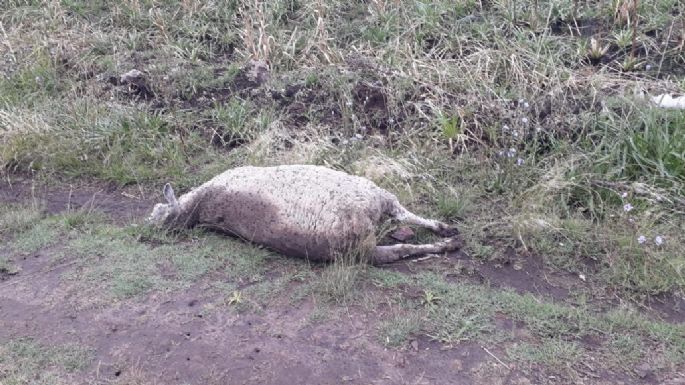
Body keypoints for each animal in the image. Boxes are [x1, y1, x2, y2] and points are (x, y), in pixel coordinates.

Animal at [149, 164, 460, 262]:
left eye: (156, 213)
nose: (145, 231)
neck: (202, 205)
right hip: (369, 200)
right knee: (401, 238)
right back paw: (446, 241)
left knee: (403, 221)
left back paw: (445, 232)